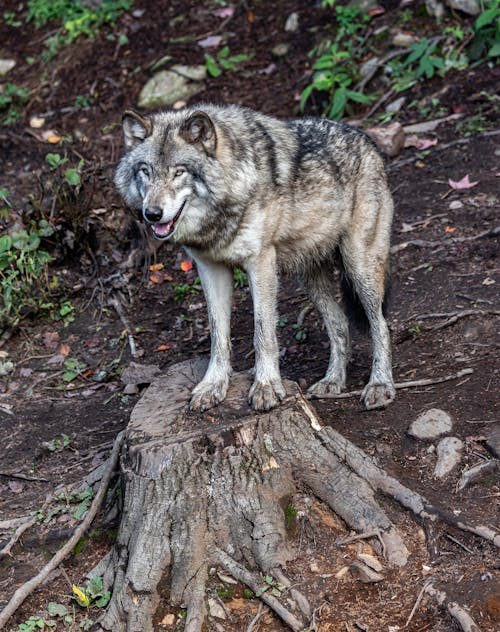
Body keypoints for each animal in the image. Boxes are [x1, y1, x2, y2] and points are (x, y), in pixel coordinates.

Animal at [115, 102, 396, 410]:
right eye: (145, 171)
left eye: (179, 172)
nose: (152, 214)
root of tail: (367, 140)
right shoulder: (210, 268)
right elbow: (218, 335)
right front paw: (213, 386)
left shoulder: (260, 263)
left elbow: (263, 333)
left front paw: (266, 386)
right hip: (311, 279)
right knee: (340, 324)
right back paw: (333, 381)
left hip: (359, 265)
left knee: (381, 325)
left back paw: (380, 385)